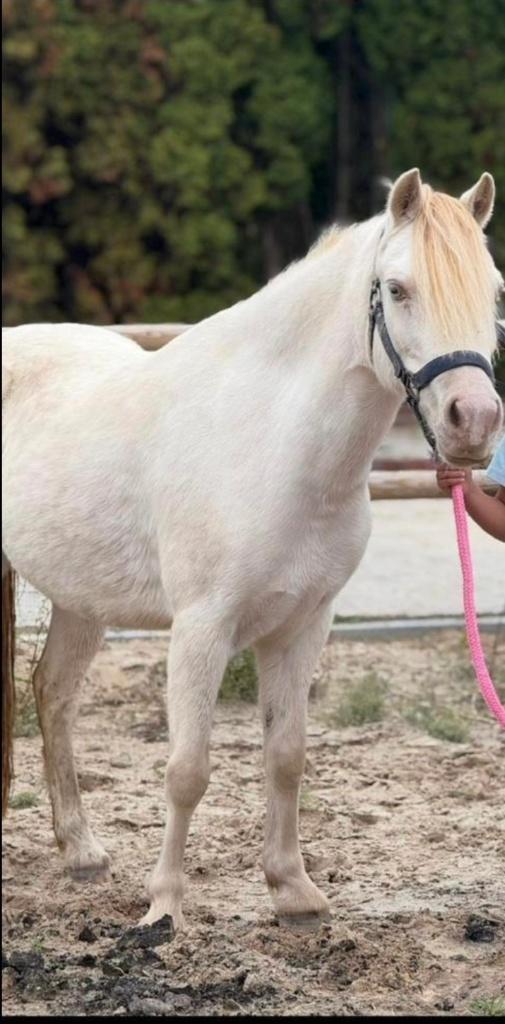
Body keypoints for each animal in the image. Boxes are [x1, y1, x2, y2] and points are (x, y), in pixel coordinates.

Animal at [2, 169, 503, 932]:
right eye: (396, 289)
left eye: (494, 291)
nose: (472, 423)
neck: (272, 441)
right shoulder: (201, 628)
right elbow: (187, 769)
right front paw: (164, 907)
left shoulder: (304, 625)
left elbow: (286, 756)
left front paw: (292, 890)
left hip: (81, 600)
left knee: (53, 694)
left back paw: (82, 851)